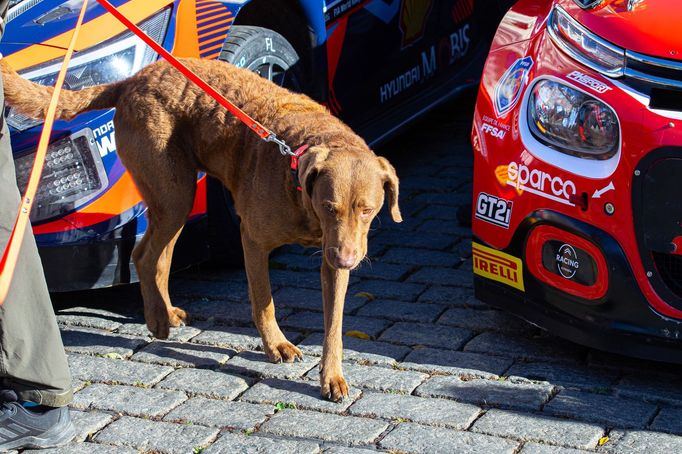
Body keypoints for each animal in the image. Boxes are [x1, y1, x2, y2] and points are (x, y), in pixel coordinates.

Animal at [2, 57, 402, 400]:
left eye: (367, 211)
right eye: (328, 207)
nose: (347, 259)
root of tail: (131, 80)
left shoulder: (334, 257)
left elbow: (333, 325)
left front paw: (332, 378)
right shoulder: (253, 239)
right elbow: (264, 302)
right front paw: (276, 345)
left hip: (177, 199)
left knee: (156, 258)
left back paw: (165, 313)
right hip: (173, 192)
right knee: (143, 255)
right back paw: (156, 321)